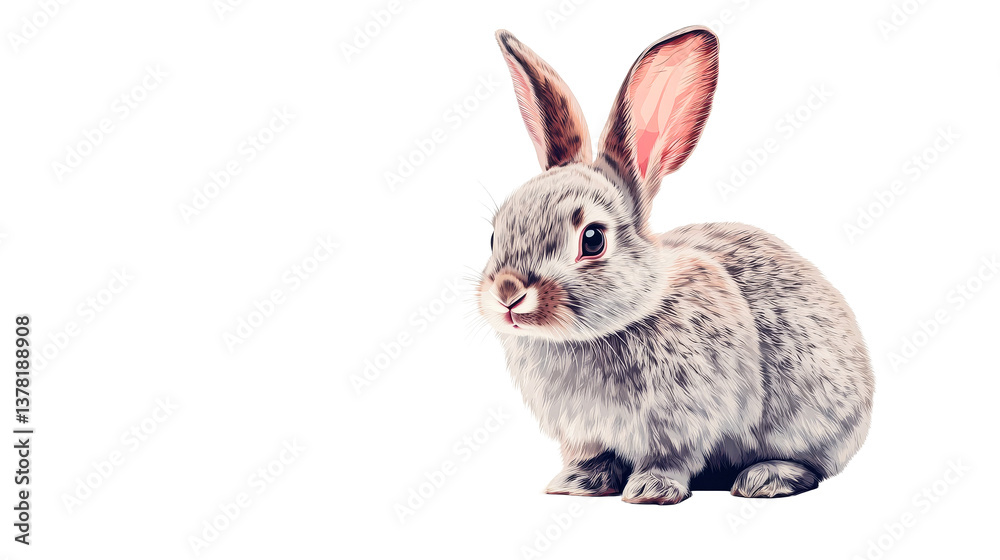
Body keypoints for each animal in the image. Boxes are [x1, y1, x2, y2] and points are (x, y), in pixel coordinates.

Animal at [476, 26, 874, 505]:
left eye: (592, 240)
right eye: (494, 236)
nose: (508, 293)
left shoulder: (685, 420)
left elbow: (670, 457)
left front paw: (650, 490)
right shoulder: (585, 433)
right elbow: (595, 456)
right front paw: (577, 483)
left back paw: (766, 478)